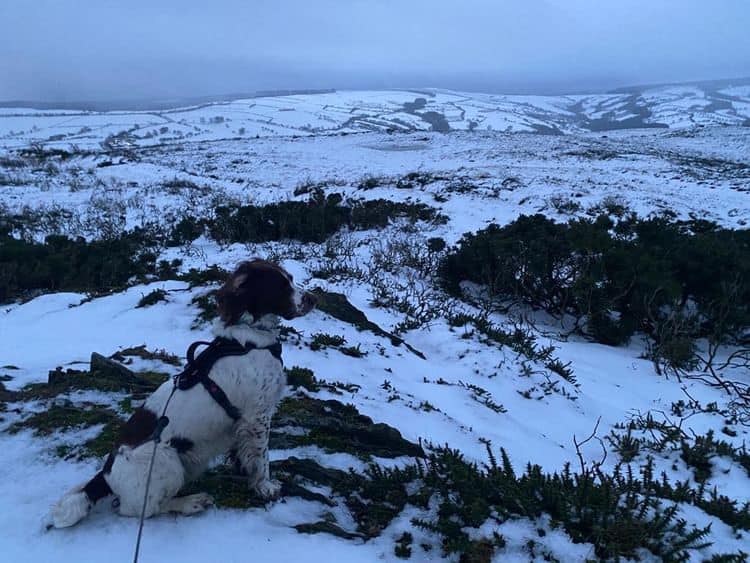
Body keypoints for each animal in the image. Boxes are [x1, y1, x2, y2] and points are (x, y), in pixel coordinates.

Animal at [47, 260, 318, 528]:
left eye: (291, 279)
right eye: (280, 286)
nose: (313, 299)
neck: (248, 342)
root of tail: (106, 474)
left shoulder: (242, 423)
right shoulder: (257, 416)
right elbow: (262, 458)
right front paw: (265, 486)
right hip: (166, 459)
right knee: (141, 509)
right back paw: (192, 502)